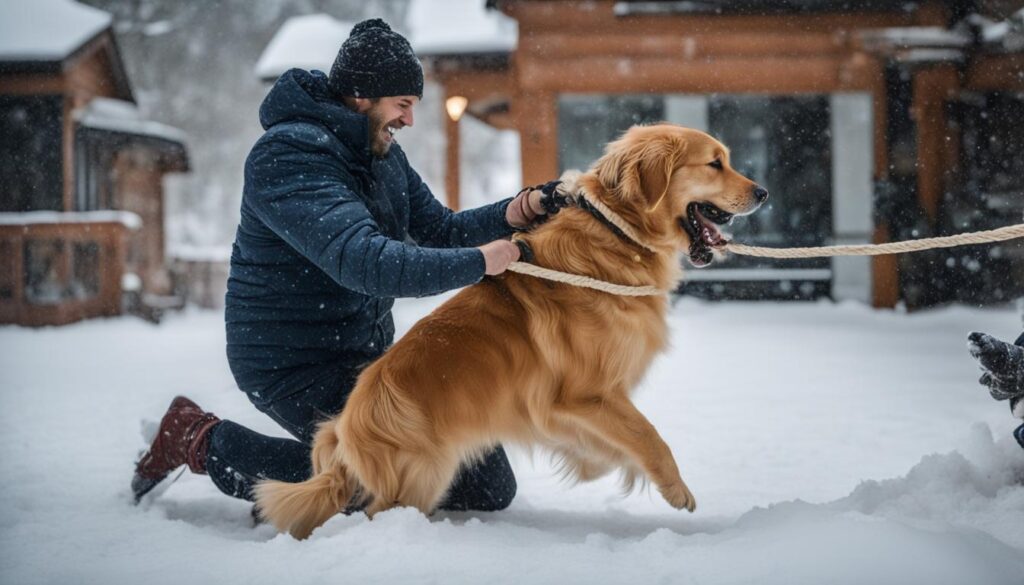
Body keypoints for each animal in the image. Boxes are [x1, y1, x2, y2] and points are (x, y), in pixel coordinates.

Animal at [256, 124, 770, 540]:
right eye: (715, 162)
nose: (763, 192)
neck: (617, 239)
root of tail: (344, 425)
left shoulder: (559, 406)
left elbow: (606, 446)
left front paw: (593, 466)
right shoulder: (587, 394)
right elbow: (649, 436)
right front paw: (676, 490)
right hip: (422, 476)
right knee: (374, 512)